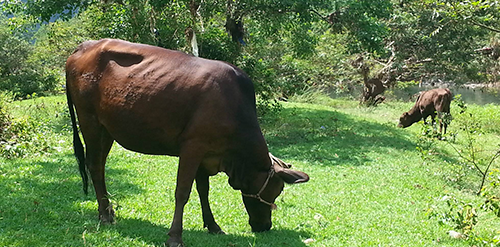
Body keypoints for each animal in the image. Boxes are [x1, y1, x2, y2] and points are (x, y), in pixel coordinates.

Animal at [65, 39, 308, 247]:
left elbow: (203, 190)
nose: (264, 226)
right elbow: (182, 192)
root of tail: (83, 47)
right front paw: (175, 236)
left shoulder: (205, 153)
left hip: (107, 130)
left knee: (99, 166)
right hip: (89, 121)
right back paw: (105, 216)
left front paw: (213, 226)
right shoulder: (193, 147)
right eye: (275, 192)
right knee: (94, 165)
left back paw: (106, 210)